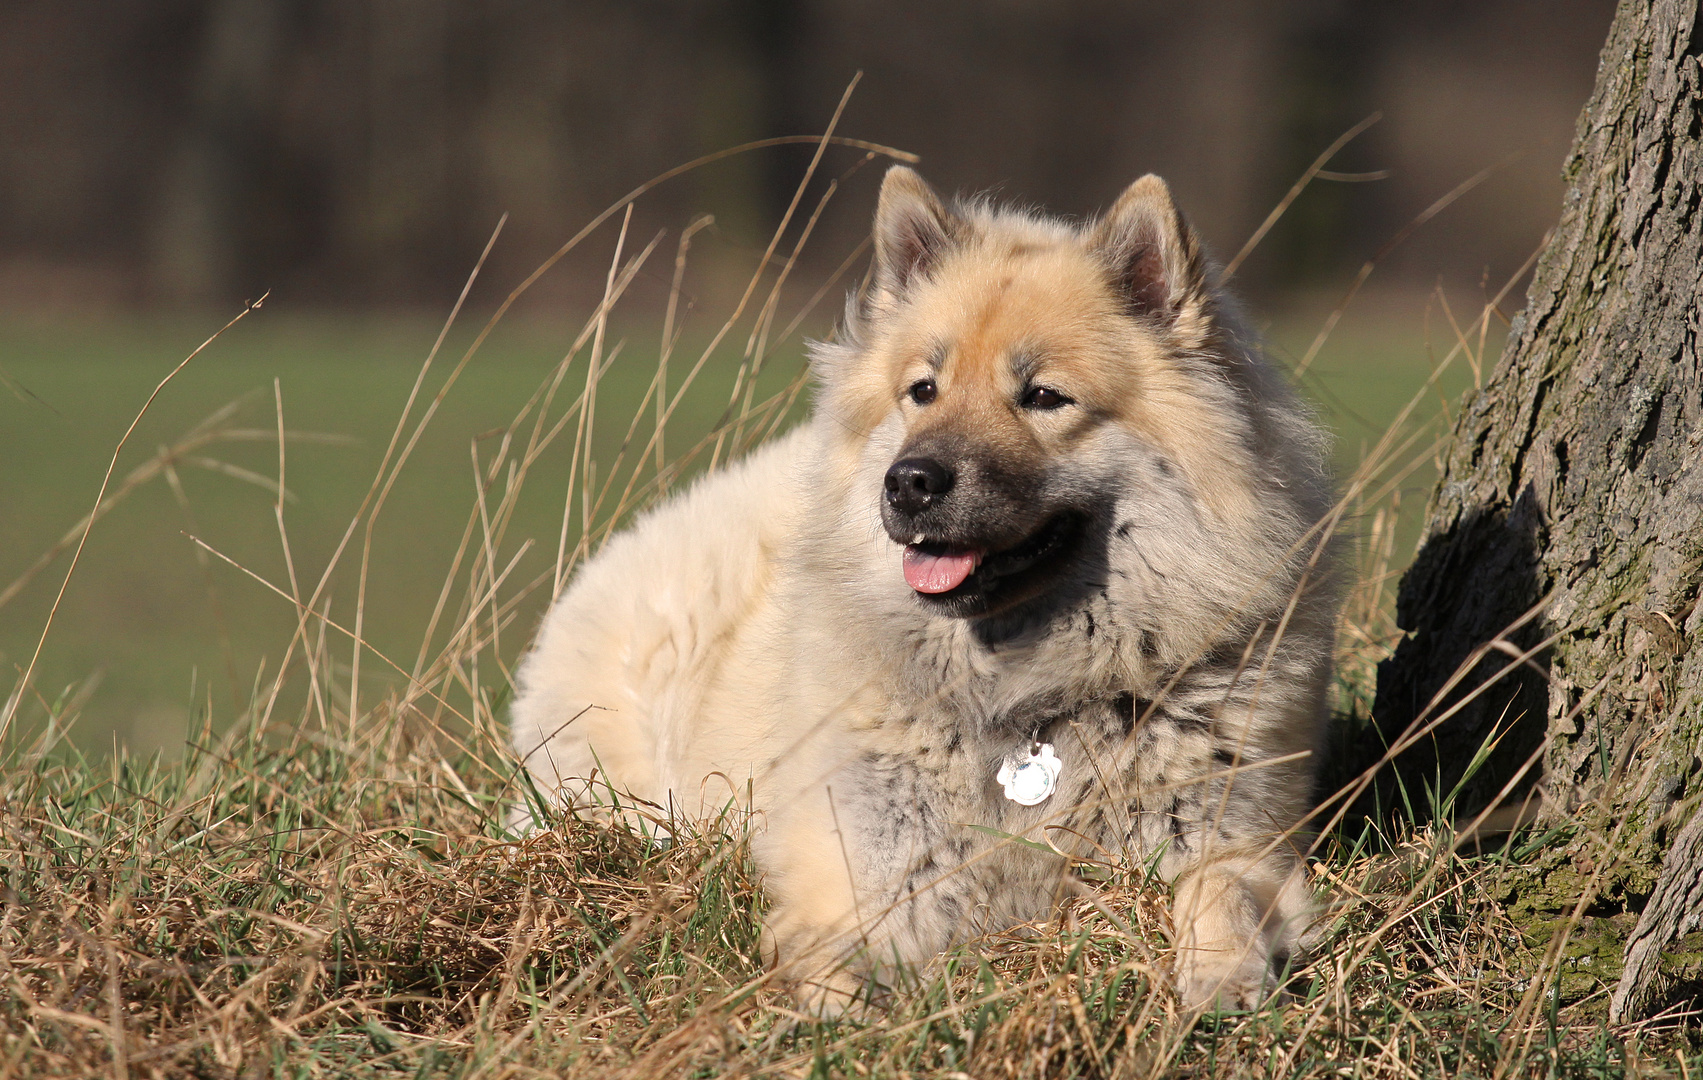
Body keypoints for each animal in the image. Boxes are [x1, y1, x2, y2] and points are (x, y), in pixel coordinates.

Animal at [510, 166, 1335, 1008]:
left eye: (1042, 397)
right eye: (923, 390)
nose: (907, 481)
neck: (1023, 699)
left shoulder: (1242, 846)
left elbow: (1218, 893)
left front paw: (1222, 974)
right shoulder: (860, 878)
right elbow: (833, 967)